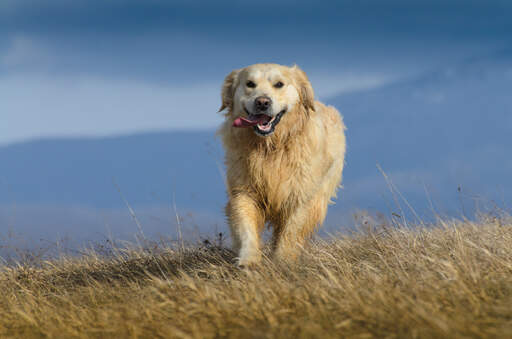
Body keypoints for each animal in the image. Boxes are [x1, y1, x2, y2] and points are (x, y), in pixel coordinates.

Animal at [218, 62, 346, 266]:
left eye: (279, 84)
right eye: (250, 84)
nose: (262, 102)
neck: (271, 147)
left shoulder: (301, 194)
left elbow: (292, 230)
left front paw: (282, 260)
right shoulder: (243, 191)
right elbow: (245, 226)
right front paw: (248, 259)